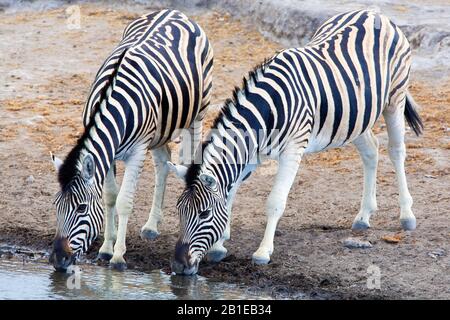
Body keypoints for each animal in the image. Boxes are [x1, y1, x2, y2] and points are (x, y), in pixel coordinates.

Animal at [48, 8, 214, 272]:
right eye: (56, 205)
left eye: (81, 208)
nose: (57, 260)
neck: (117, 107)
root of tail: (175, 11)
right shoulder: (108, 153)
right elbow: (109, 197)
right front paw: (106, 248)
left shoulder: (137, 151)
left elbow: (124, 200)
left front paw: (118, 257)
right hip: (160, 131)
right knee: (163, 163)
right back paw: (151, 226)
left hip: (197, 116)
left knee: (188, 158)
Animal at [169, 10, 422, 276]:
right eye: (178, 210)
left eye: (204, 213)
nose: (178, 266)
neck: (268, 111)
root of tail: (372, 12)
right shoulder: (251, 154)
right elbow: (229, 195)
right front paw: (219, 245)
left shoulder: (293, 149)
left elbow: (274, 201)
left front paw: (262, 252)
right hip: (356, 116)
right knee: (371, 151)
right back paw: (364, 216)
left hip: (395, 98)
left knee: (396, 151)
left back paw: (407, 215)